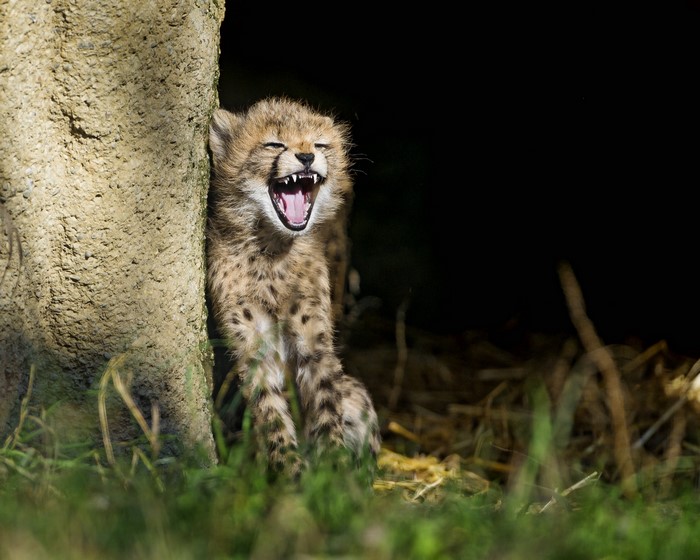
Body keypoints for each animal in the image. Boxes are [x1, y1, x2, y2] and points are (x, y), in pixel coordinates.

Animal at [206, 96, 381, 476]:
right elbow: (270, 410)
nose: (306, 157)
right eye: (274, 144)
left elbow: (326, 401)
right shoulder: (253, 343)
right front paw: (289, 470)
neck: (273, 249)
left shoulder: (314, 339)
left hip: (356, 393)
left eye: (320, 144)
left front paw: (330, 472)